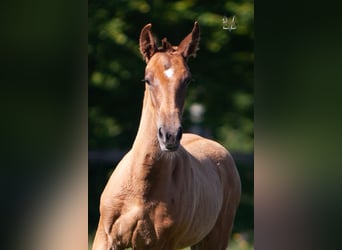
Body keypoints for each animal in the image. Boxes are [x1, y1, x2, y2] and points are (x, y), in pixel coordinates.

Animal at [91, 22, 240, 250]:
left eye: (187, 80)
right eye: (147, 79)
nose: (169, 135)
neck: (140, 187)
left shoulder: (160, 244)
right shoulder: (105, 238)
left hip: (215, 239)